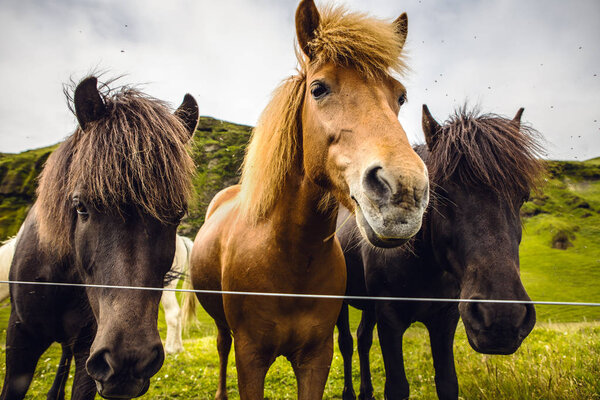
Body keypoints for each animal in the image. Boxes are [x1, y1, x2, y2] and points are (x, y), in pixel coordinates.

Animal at [185, 1, 428, 398]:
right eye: (318, 88)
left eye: (400, 96)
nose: (404, 192)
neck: (289, 256)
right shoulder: (250, 359)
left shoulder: (317, 358)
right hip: (222, 327)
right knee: (221, 346)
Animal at [338, 104, 544, 398]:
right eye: (441, 193)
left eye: (523, 197)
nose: (502, 317)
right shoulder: (389, 319)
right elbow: (397, 386)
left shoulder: (445, 319)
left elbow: (447, 383)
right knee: (346, 342)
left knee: (363, 338)